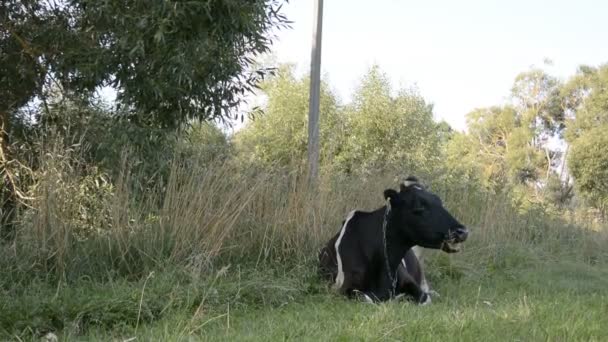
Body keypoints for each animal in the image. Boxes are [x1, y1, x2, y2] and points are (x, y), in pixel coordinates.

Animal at [318, 178, 470, 304]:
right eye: (419, 206)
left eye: (440, 202)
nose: (462, 231)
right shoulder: (343, 288)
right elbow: (365, 298)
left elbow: (424, 297)